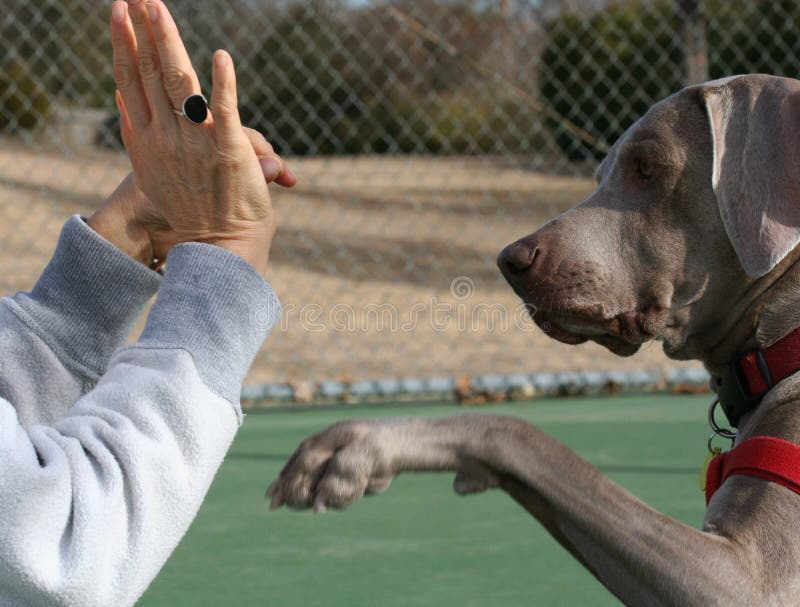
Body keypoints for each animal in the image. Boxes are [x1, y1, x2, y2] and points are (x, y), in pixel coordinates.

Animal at [266, 76, 800, 607]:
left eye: (647, 166)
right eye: (602, 173)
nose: (509, 261)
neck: (778, 345)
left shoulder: (747, 581)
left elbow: (518, 433)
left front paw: (367, 445)